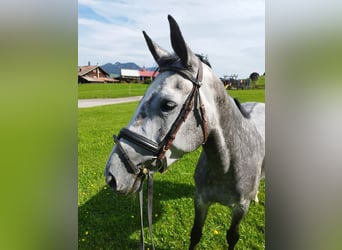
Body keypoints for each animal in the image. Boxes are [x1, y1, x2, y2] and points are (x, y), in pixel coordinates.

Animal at [105, 15, 266, 250]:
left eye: (168, 104)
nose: (111, 176)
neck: (227, 165)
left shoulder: (240, 209)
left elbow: (232, 237)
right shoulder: (200, 200)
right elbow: (196, 234)